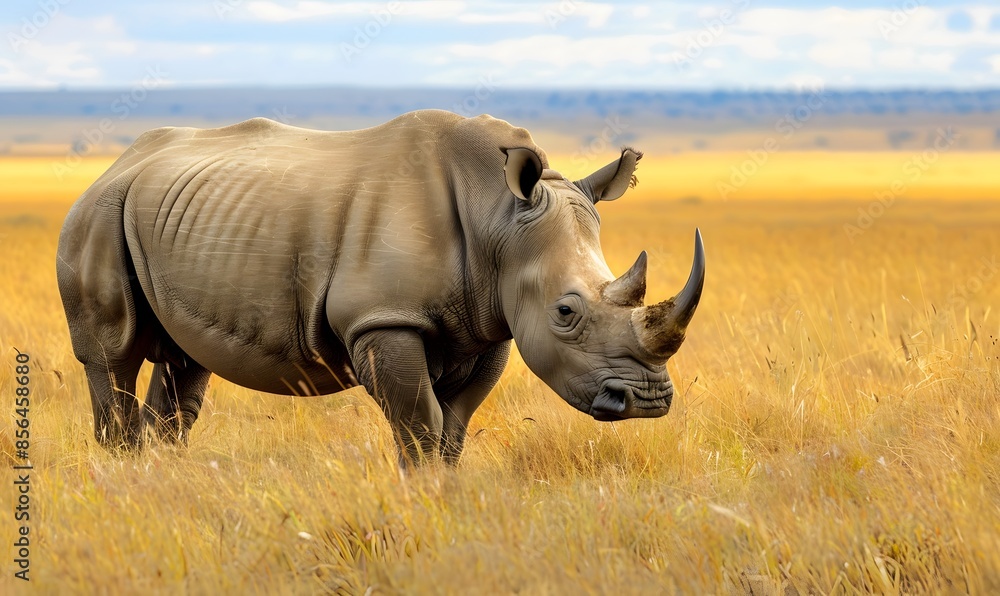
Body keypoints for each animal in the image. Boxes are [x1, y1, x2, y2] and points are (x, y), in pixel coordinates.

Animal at [57, 109, 705, 465]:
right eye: (566, 311)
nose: (647, 402)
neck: (496, 216)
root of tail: (116, 163)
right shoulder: (384, 318)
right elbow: (420, 425)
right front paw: (423, 503)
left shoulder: (487, 324)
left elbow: (453, 429)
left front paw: (442, 498)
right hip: (96, 214)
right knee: (113, 357)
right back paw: (122, 477)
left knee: (184, 364)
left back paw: (161, 479)